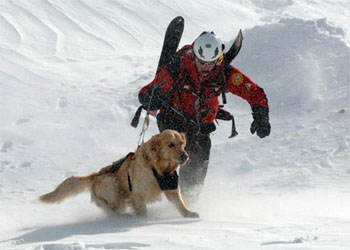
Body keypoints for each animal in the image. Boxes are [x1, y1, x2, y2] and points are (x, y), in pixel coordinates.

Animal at [38, 130, 200, 218]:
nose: (185, 156)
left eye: (182, 144)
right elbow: (143, 211)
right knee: (112, 210)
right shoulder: (137, 195)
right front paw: (144, 222)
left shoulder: (171, 186)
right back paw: (124, 218)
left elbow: (180, 203)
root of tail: (94, 176)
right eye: (170, 145)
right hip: (112, 184)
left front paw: (189, 213)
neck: (158, 168)